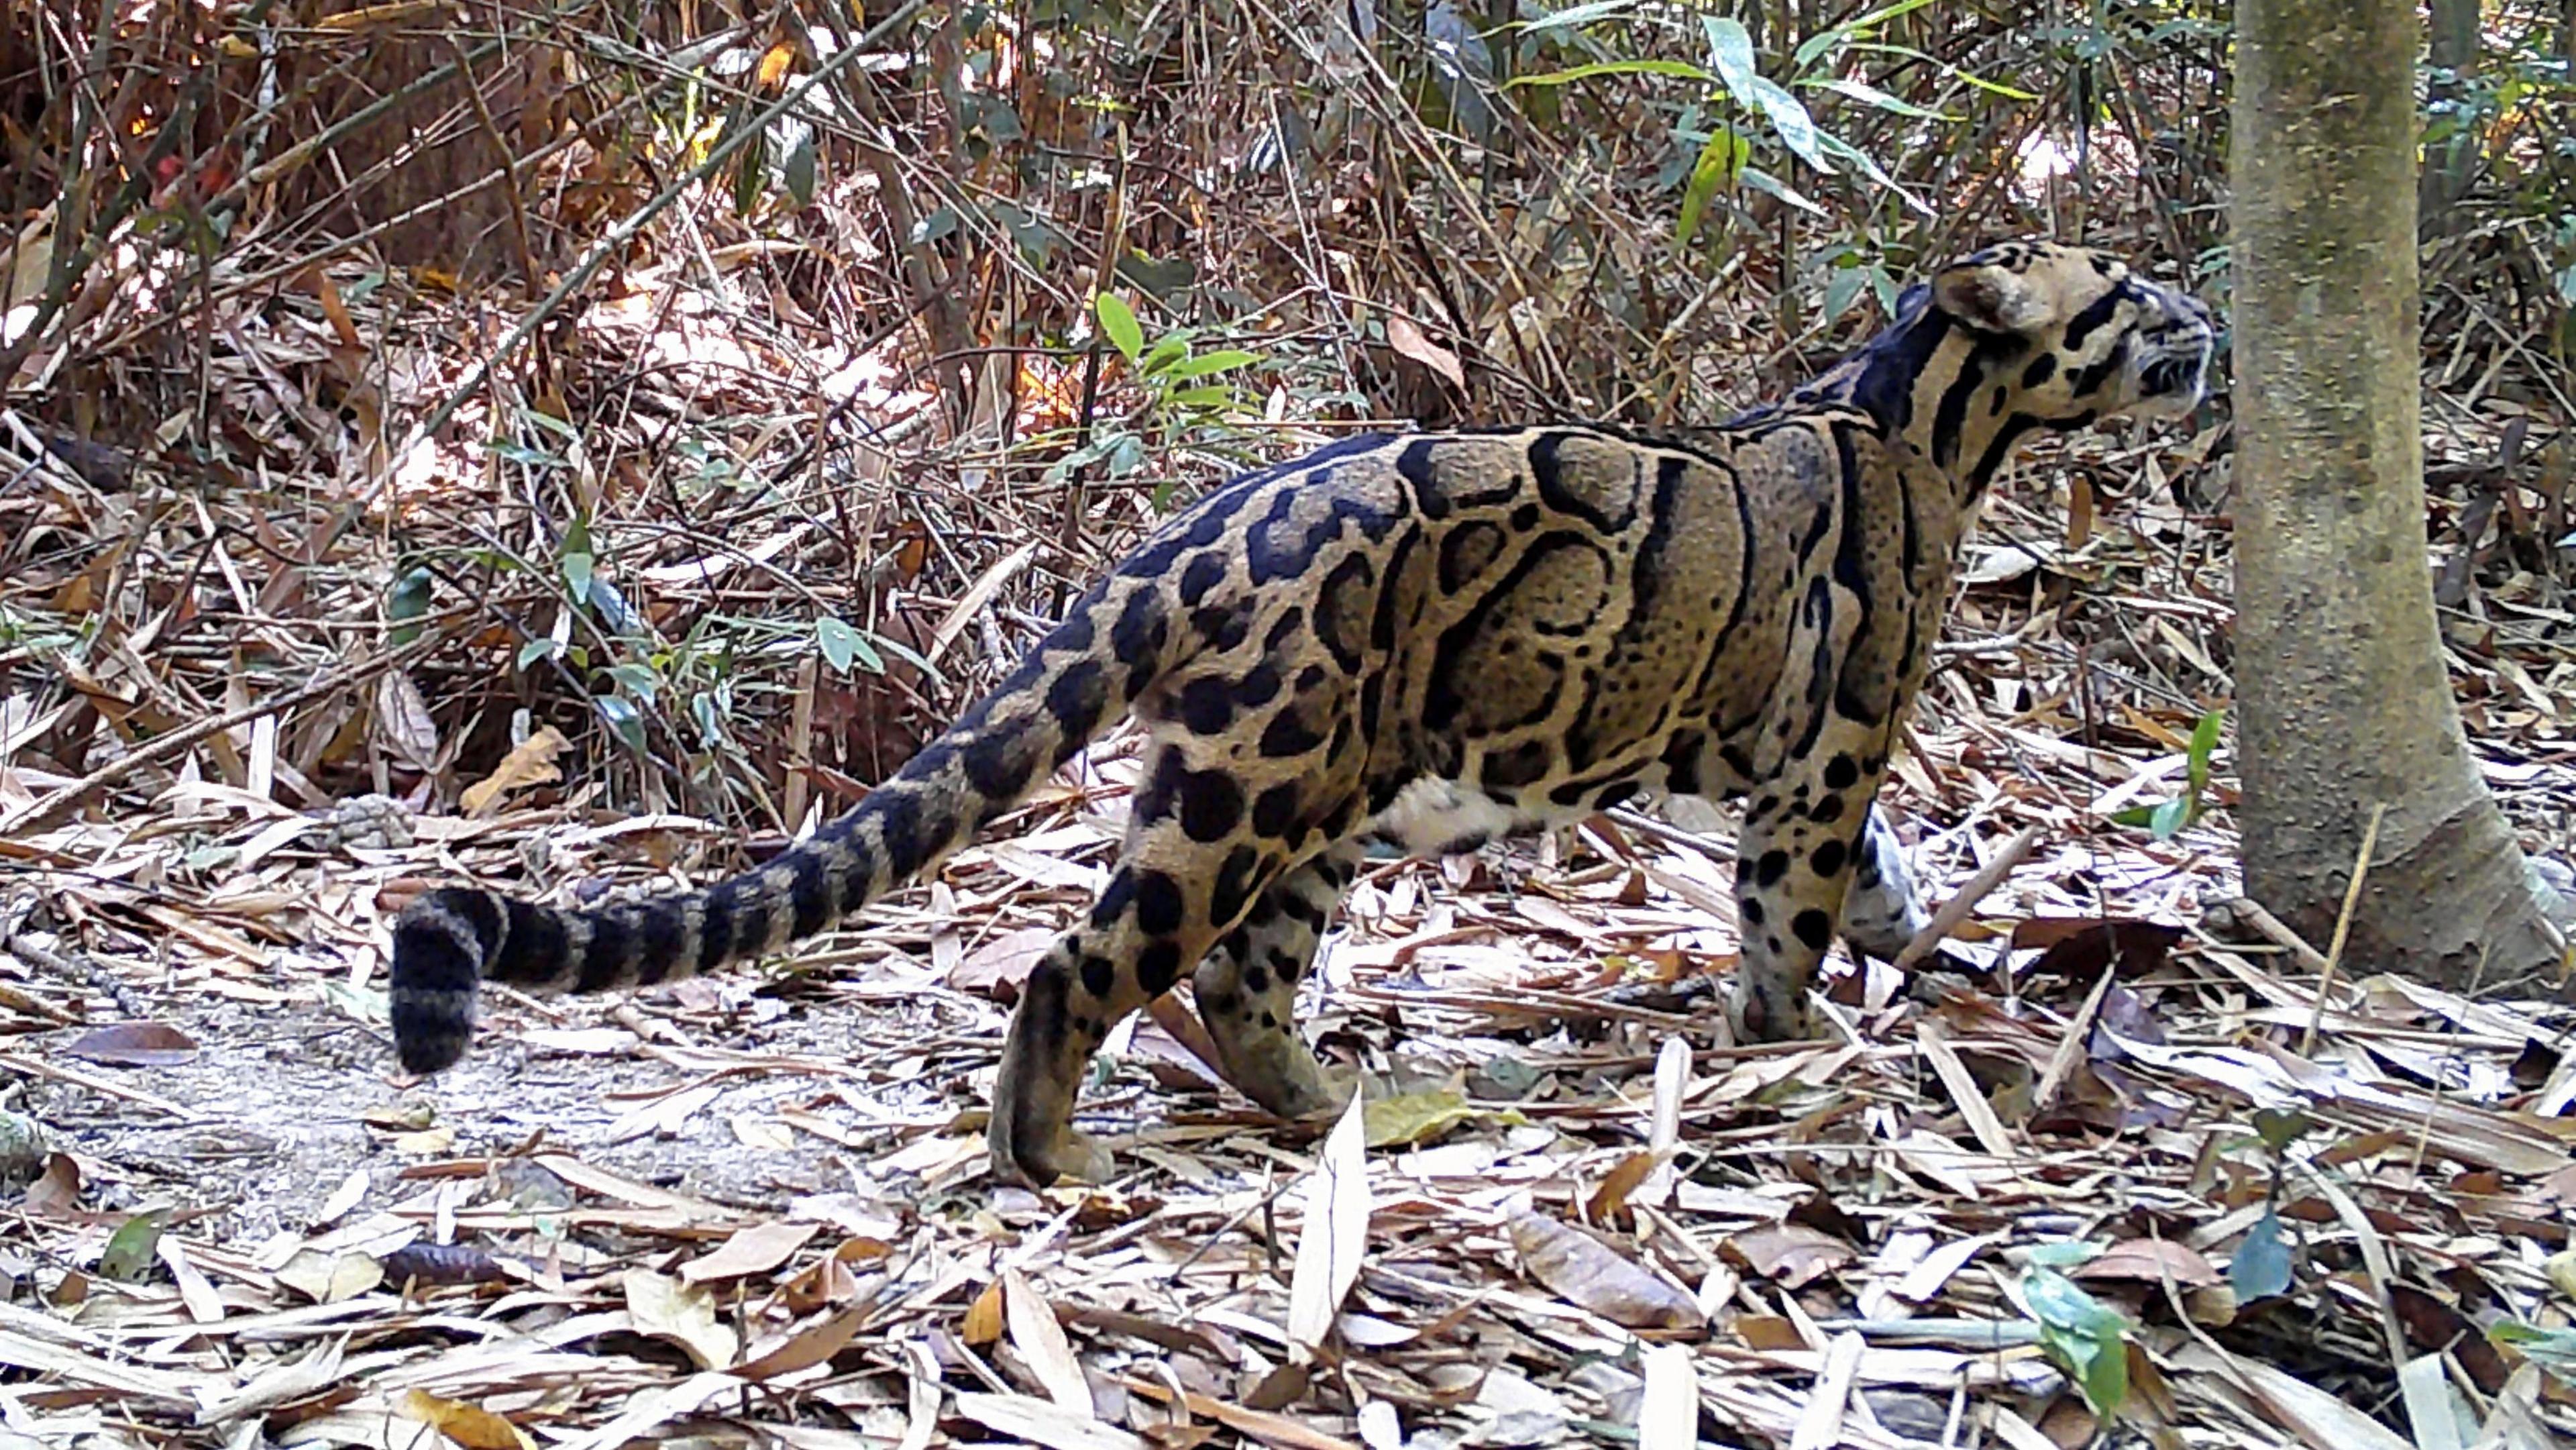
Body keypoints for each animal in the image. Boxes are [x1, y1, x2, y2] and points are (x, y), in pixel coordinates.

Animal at [387, 239, 2215, 1188]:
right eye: (2126, 294)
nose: (2206, 316)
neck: (1930, 410)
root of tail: (1196, 528)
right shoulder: (1829, 745)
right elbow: (1797, 909)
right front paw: (1783, 1048)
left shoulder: (1793, 764)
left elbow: (1887, 885)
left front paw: (1932, 971)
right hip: (1247, 785)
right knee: (1081, 964)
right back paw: (1054, 1159)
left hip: (1322, 796)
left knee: (1236, 980)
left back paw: (1331, 1104)